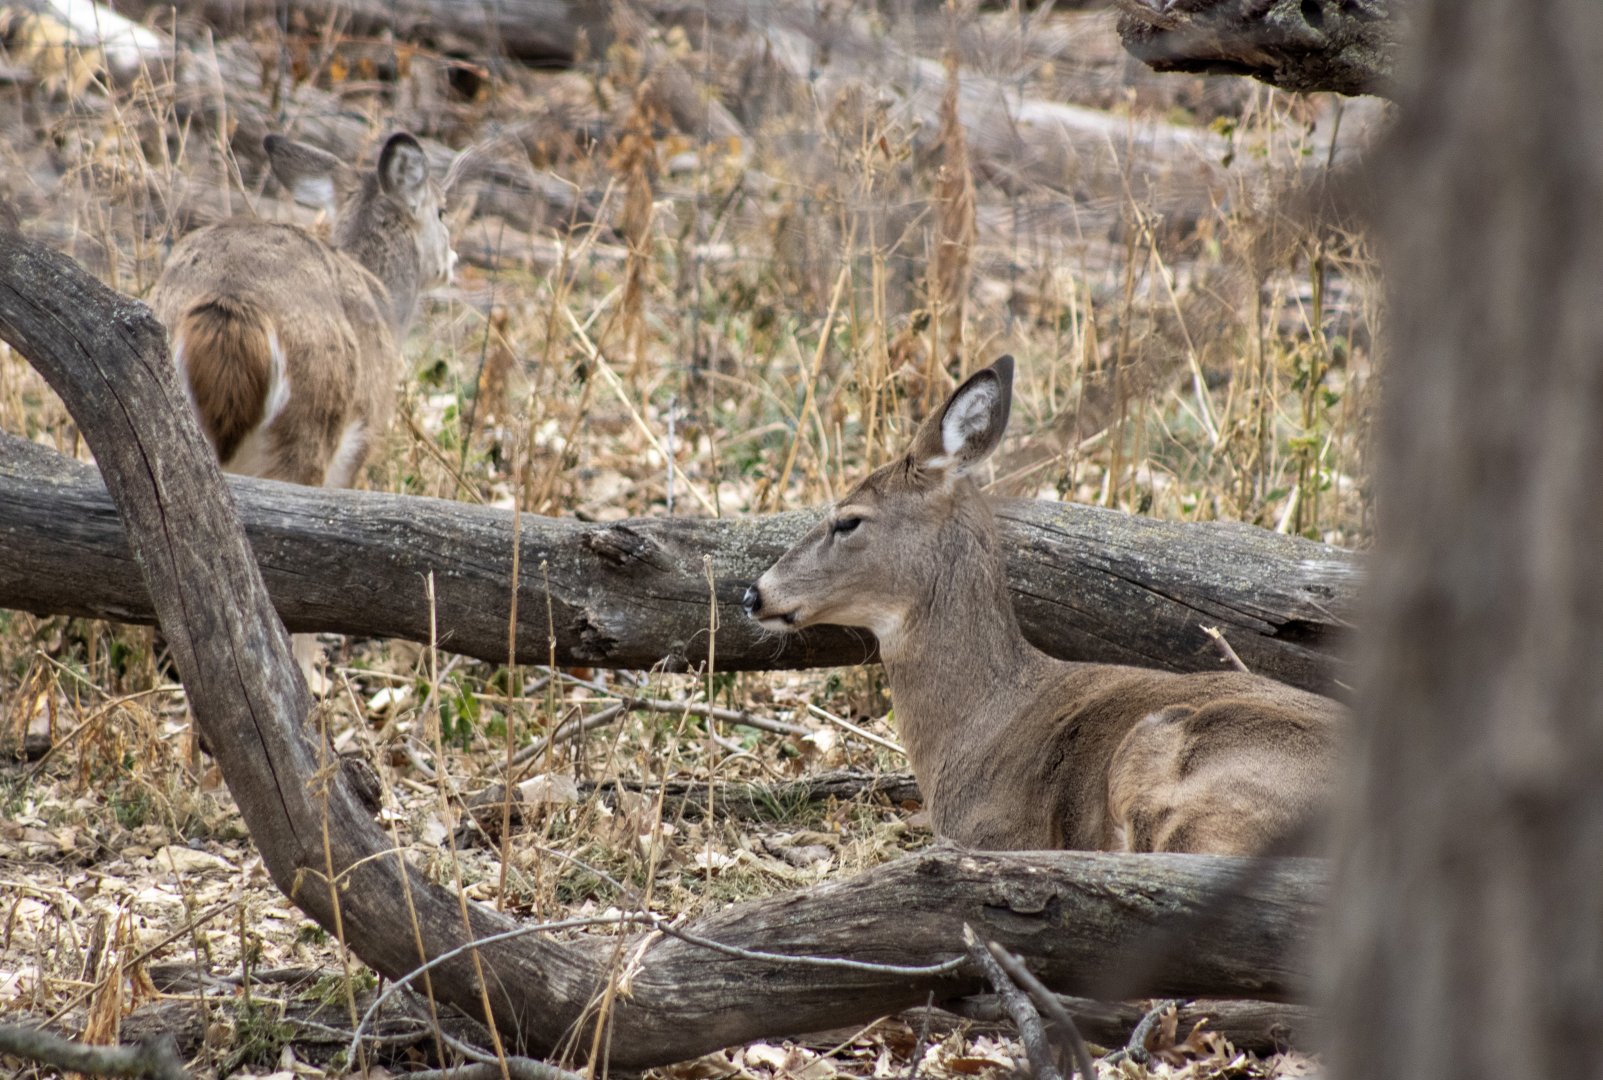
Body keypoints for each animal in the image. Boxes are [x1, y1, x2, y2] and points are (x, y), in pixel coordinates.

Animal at [150, 131, 458, 686]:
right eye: (442, 210)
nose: (455, 258)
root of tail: (230, 304)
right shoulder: (361, 438)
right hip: (309, 428)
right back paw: (303, 677)